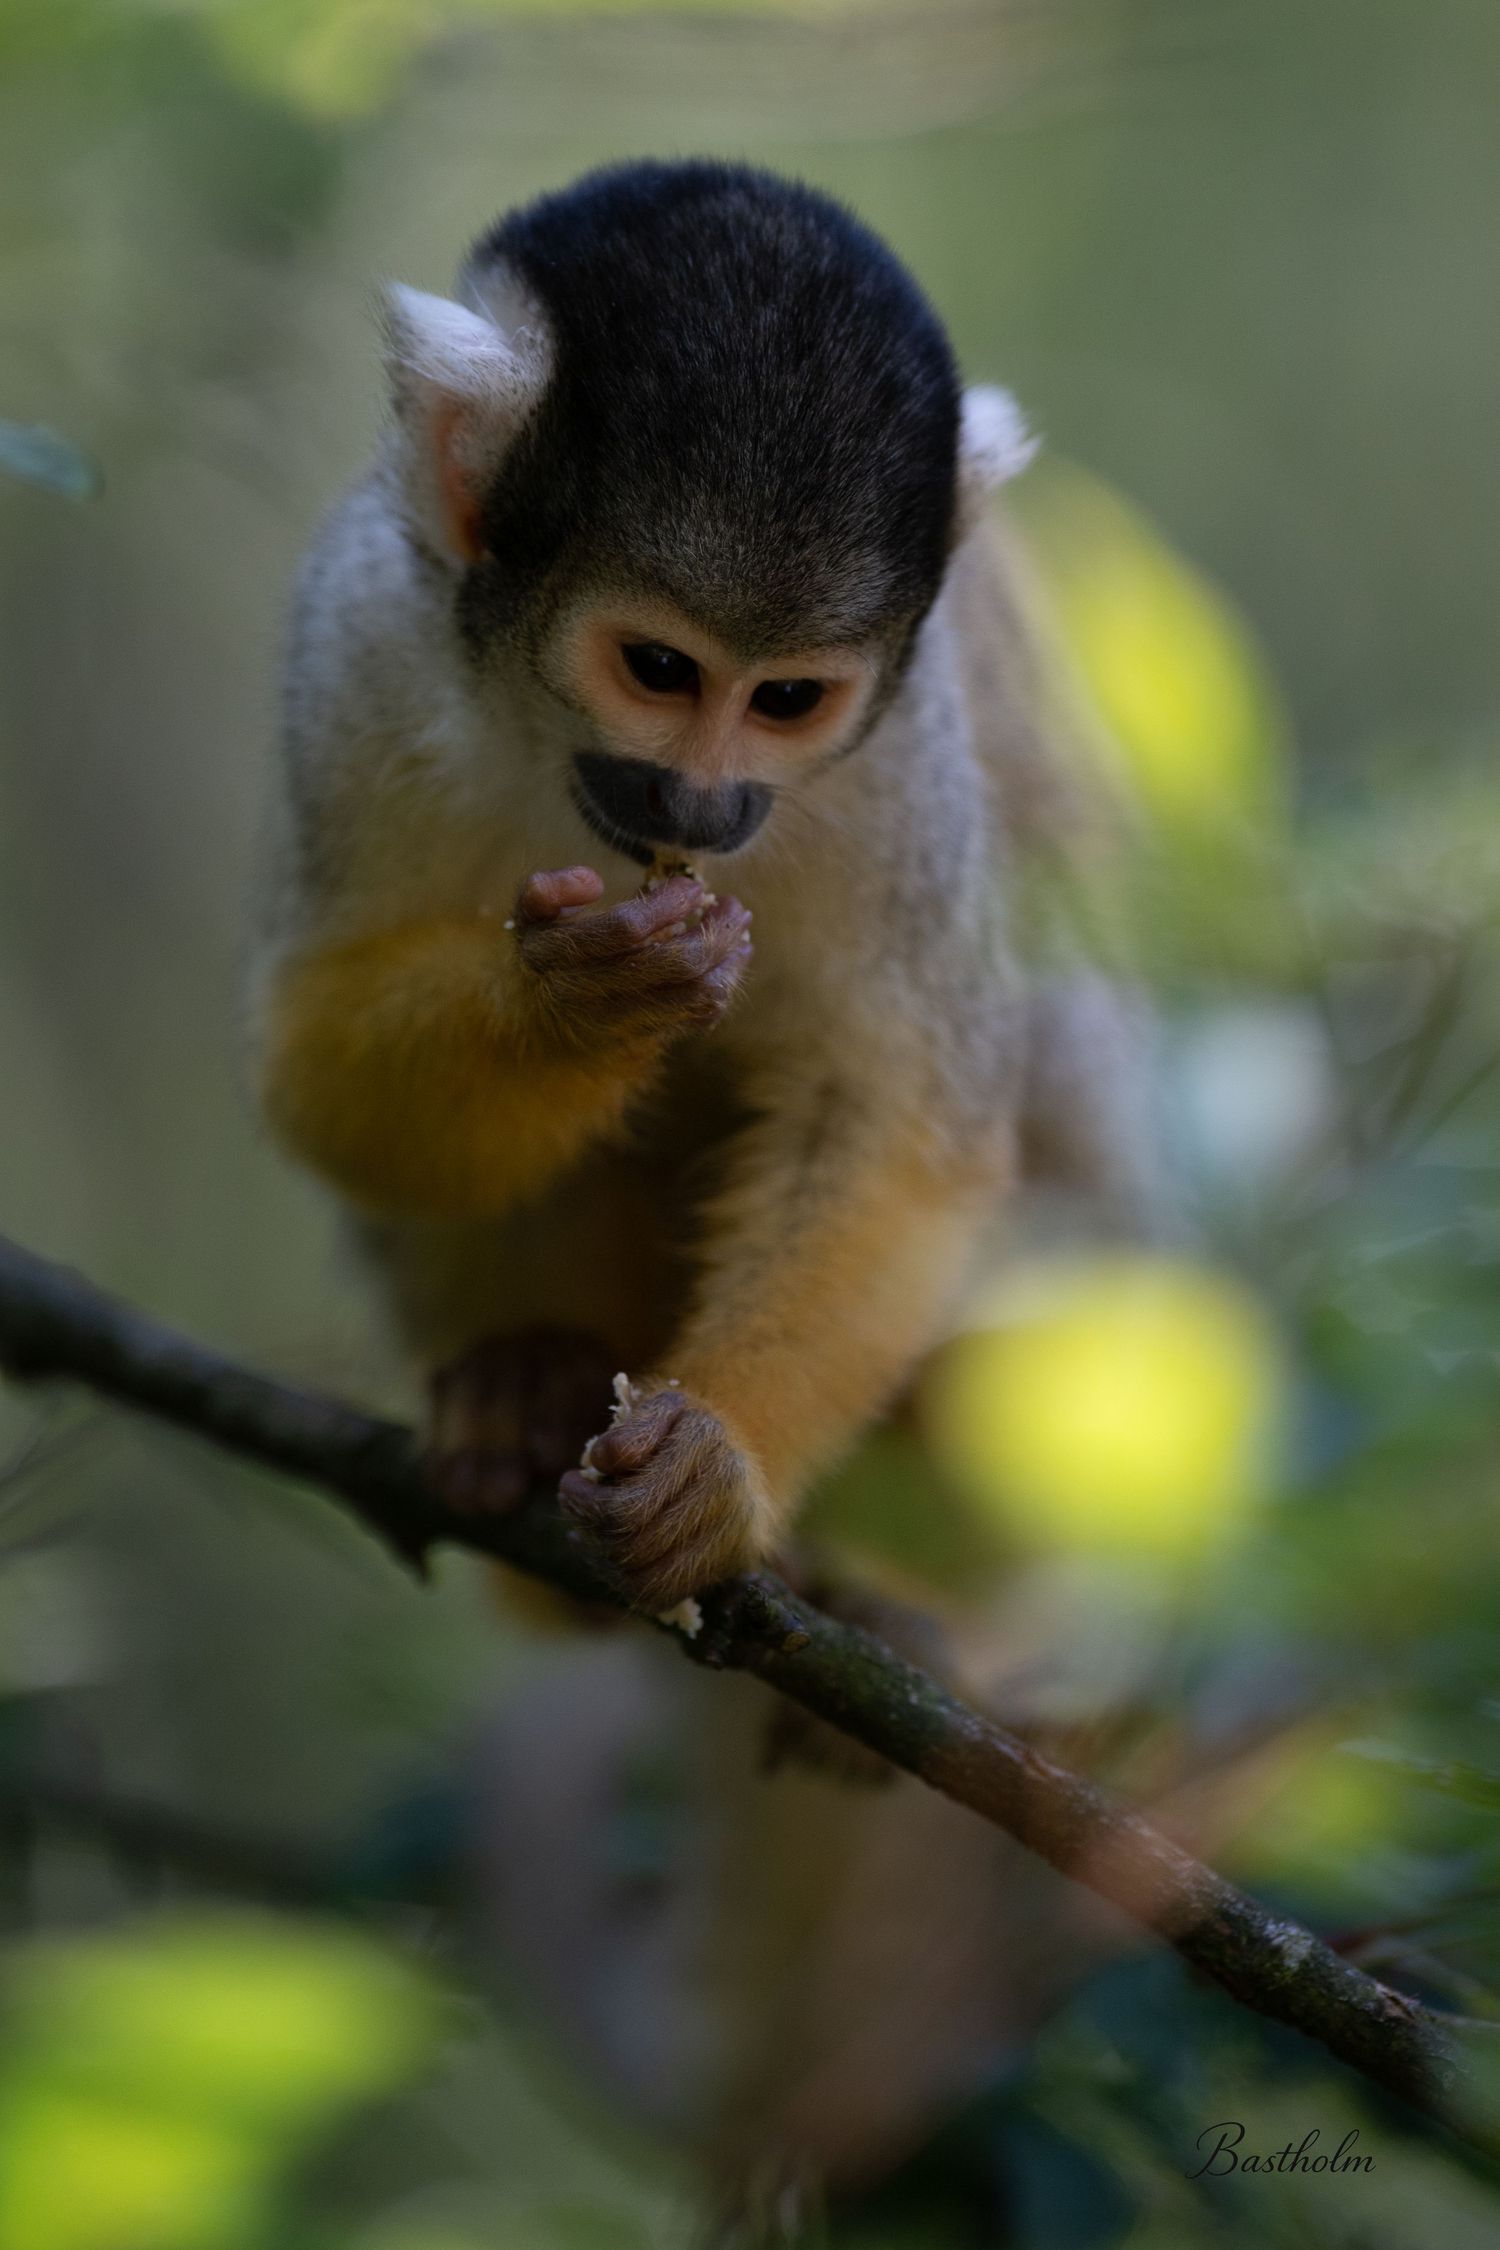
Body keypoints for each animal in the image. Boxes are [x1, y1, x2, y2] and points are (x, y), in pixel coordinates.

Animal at [249, 157, 1116, 1622]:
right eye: (658, 669)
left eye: (785, 700)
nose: (702, 808)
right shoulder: (368, 632)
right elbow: (315, 1069)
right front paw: (580, 1011)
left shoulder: (900, 745)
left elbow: (901, 1117)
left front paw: (715, 1467)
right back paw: (526, 1390)